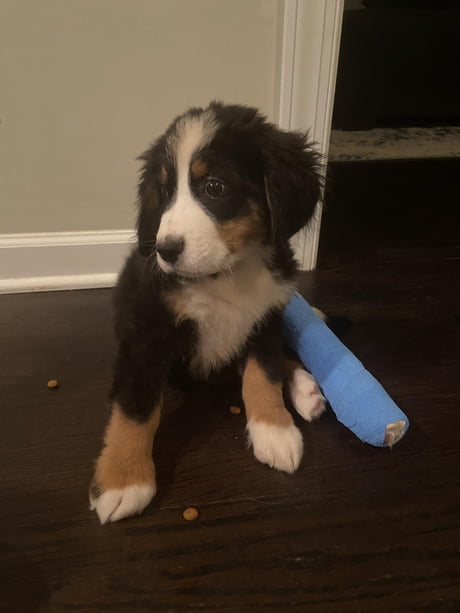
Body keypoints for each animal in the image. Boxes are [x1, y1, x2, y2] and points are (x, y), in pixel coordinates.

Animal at [90, 102, 326, 524]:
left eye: (214, 187)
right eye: (165, 192)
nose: (166, 250)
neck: (224, 276)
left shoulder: (266, 317)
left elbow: (263, 374)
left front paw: (274, 430)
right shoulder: (146, 333)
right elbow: (134, 409)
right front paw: (123, 481)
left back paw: (305, 390)